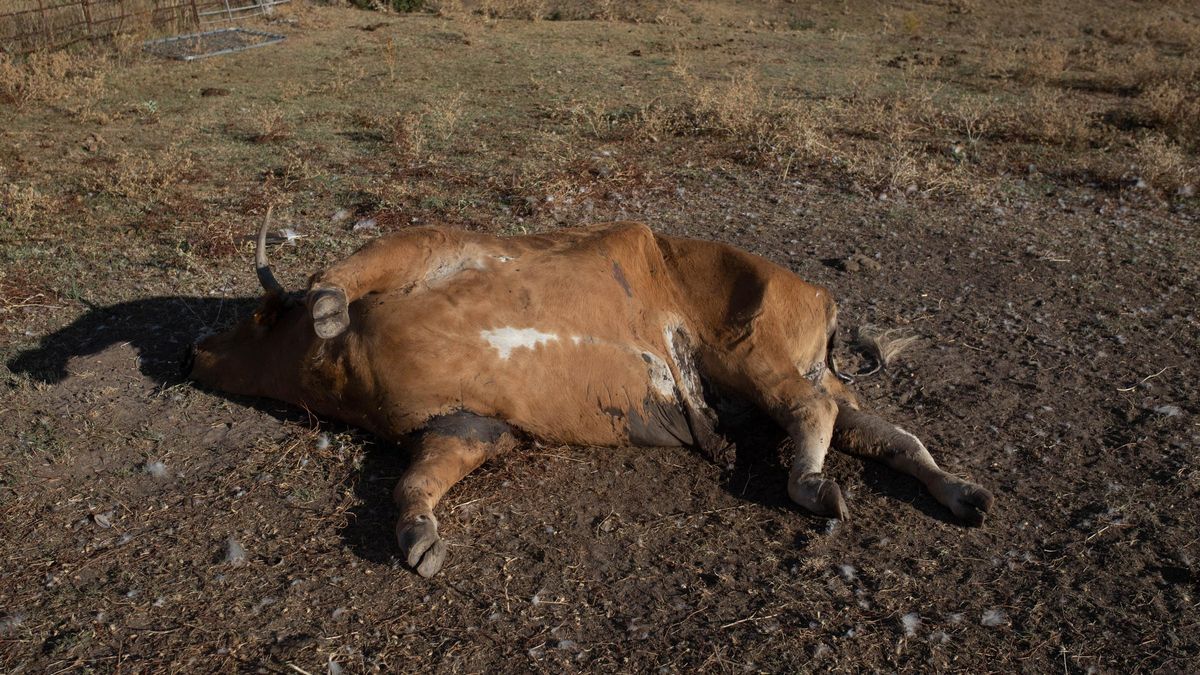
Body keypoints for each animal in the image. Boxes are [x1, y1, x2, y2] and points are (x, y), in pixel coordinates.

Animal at [187, 212, 993, 576]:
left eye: (263, 316)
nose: (195, 351)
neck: (347, 360)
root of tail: (822, 299)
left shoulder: (428, 245)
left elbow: (351, 266)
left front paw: (324, 303)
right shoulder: (467, 425)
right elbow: (413, 483)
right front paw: (420, 539)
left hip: (756, 357)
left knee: (814, 412)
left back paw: (812, 484)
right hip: (797, 374)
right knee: (883, 432)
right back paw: (960, 493)